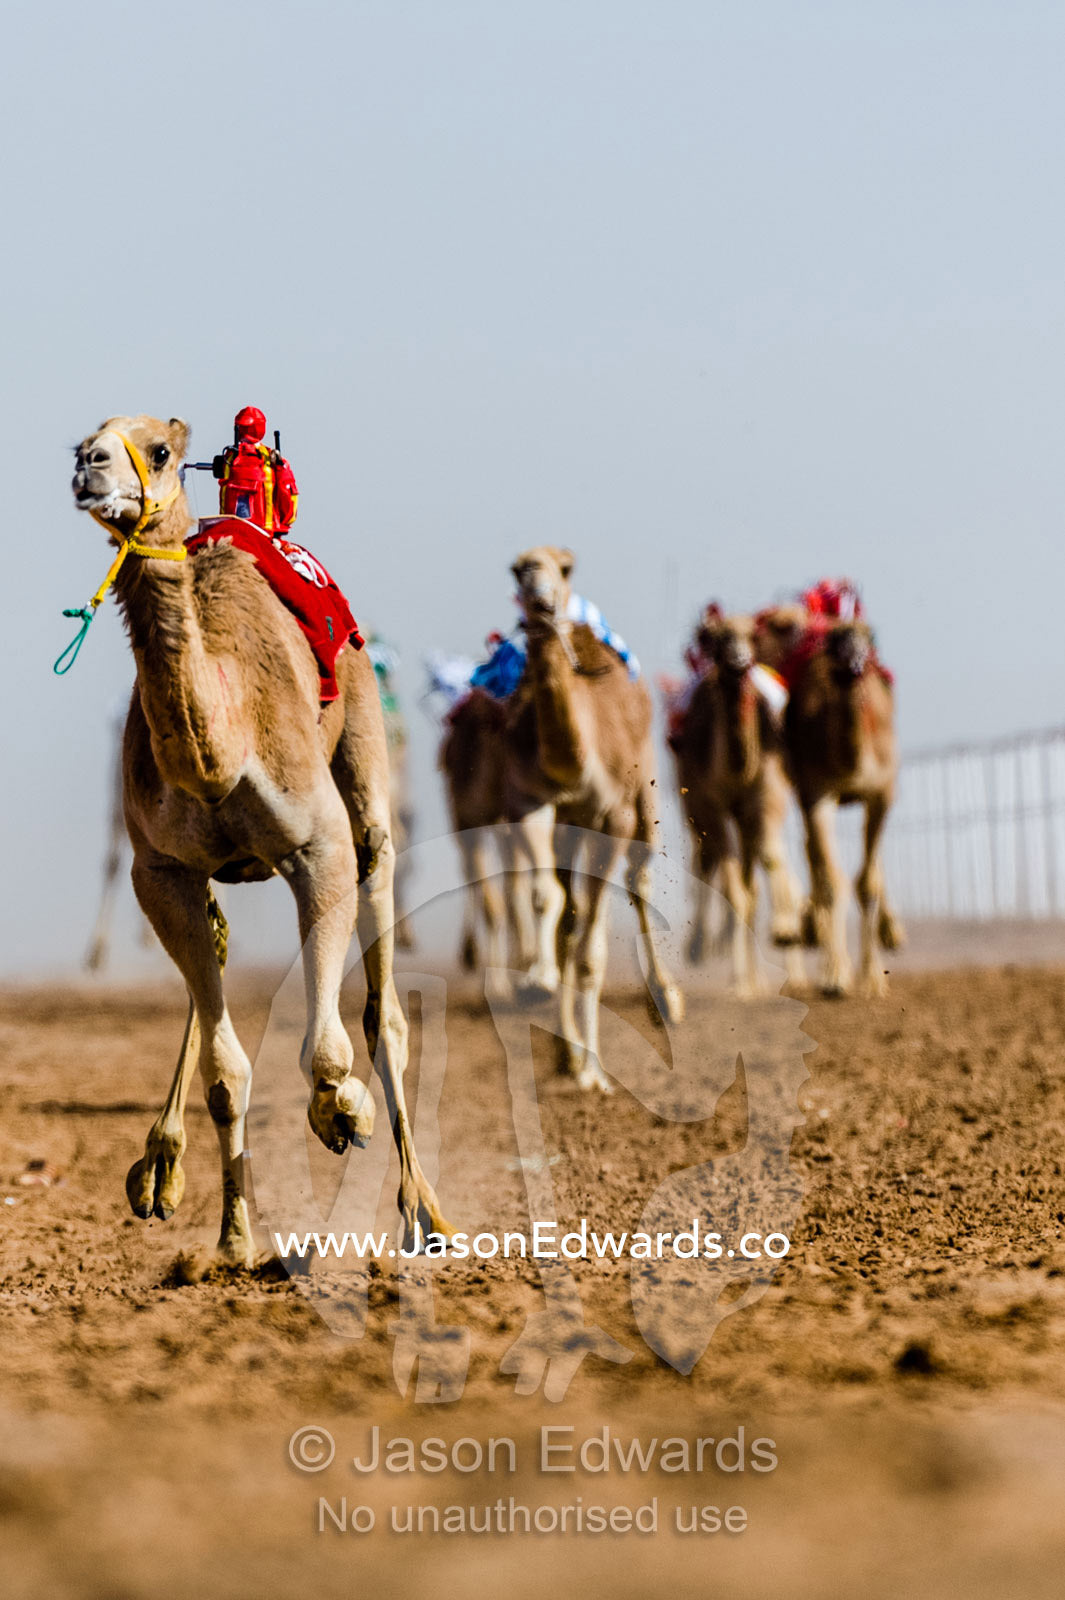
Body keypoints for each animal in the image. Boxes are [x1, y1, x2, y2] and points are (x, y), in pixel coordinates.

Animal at [69, 415, 448, 1263]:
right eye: (83, 443)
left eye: (160, 450)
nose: (89, 468)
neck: (222, 747)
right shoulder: (162, 869)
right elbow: (225, 1073)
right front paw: (232, 1240)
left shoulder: (318, 847)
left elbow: (331, 1048)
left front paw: (344, 1112)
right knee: (218, 945)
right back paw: (162, 1168)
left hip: (365, 759)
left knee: (384, 1004)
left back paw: (423, 1212)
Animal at [503, 547, 682, 1089]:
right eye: (517, 571)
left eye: (564, 568)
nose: (542, 604)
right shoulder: (530, 802)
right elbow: (550, 899)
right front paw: (536, 982)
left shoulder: (614, 816)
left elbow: (592, 951)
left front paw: (594, 1074)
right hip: (571, 828)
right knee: (571, 910)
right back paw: (567, 1051)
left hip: (645, 796)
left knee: (638, 881)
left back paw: (665, 1004)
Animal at [670, 611, 803, 996]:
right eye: (720, 638)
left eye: (751, 636)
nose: (740, 661)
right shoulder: (710, 805)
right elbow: (731, 887)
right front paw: (741, 986)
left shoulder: (765, 795)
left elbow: (765, 862)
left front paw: (785, 930)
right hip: (695, 810)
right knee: (707, 864)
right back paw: (702, 950)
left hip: (745, 818)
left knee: (748, 878)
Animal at [759, 609, 903, 996]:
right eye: (836, 641)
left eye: (869, 637)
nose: (854, 664)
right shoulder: (816, 791)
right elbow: (831, 880)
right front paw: (836, 977)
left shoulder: (882, 792)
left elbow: (867, 881)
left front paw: (872, 981)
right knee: (812, 853)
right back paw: (810, 928)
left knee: (871, 866)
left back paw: (892, 932)